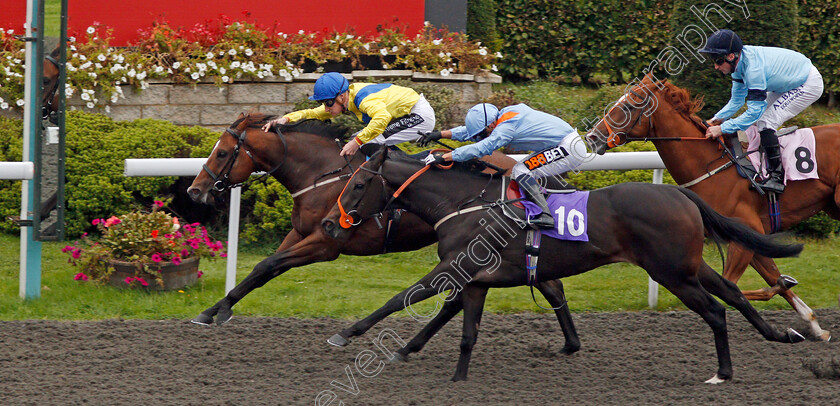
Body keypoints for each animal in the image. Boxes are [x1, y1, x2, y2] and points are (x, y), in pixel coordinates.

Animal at [185, 112, 580, 356]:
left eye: (222, 153)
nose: (194, 190)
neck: (320, 174)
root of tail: (522, 169)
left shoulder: (326, 243)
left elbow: (269, 265)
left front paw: (219, 310)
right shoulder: (299, 234)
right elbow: (262, 269)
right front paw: (213, 310)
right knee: (551, 284)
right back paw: (570, 344)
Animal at [318, 147, 804, 382]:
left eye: (358, 184)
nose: (327, 223)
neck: (462, 203)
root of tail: (680, 192)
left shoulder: (455, 269)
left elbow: (403, 297)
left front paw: (346, 335)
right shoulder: (475, 279)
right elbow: (455, 322)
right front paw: (423, 359)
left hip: (671, 273)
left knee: (717, 310)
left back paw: (723, 373)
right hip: (687, 266)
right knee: (735, 294)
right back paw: (784, 334)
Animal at [584, 75, 840, 340]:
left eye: (627, 106)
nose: (592, 137)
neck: (710, 166)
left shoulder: (745, 235)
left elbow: (733, 286)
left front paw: (786, 287)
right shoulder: (750, 236)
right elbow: (769, 277)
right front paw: (814, 325)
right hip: (833, 206)